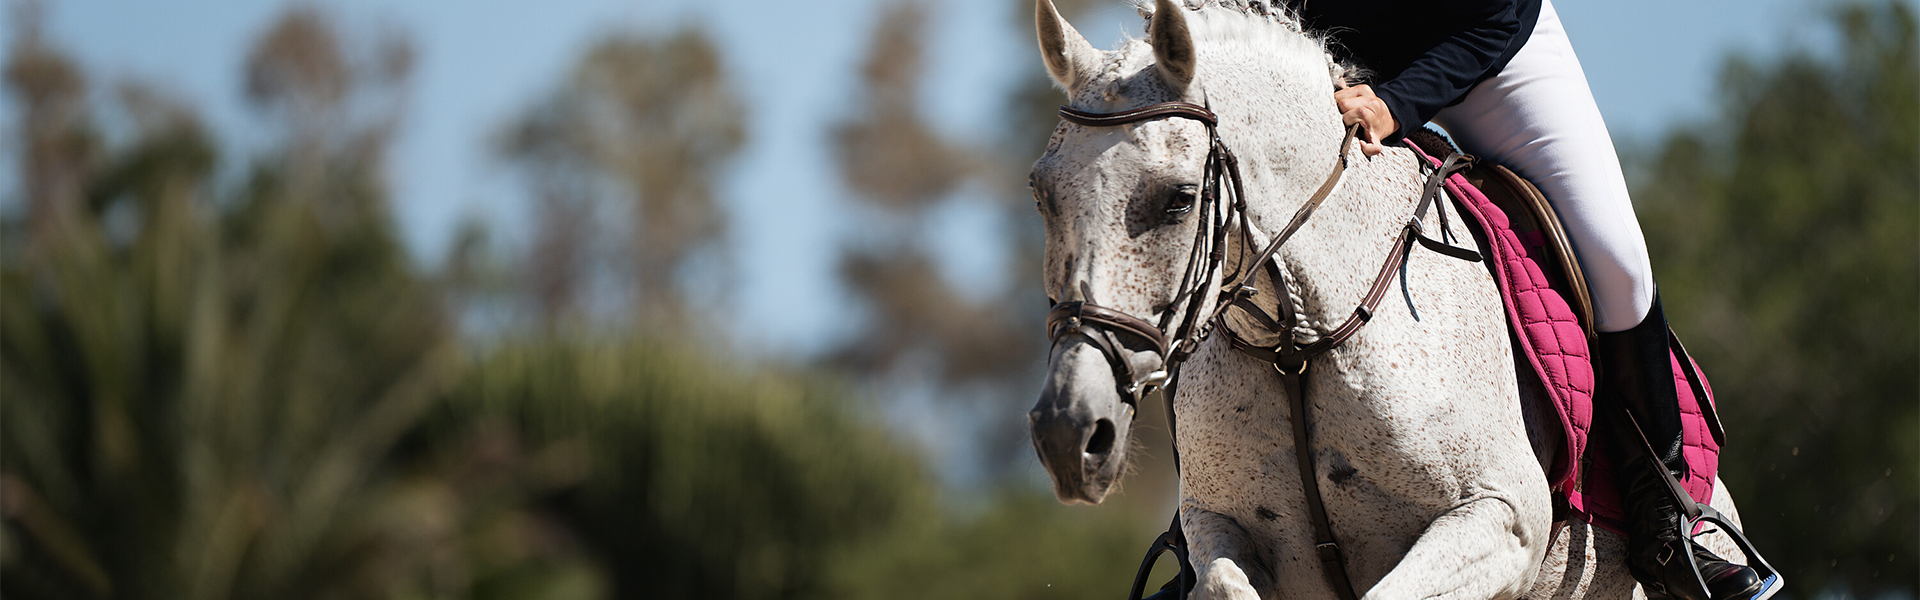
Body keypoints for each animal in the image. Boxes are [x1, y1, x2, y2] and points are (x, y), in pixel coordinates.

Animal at [1023, 1, 1754, 598]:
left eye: (1178, 199)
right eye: (1041, 194)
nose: (1067, 431)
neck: (1297, 341)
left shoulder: (1503, 519)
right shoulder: (1218, 526)